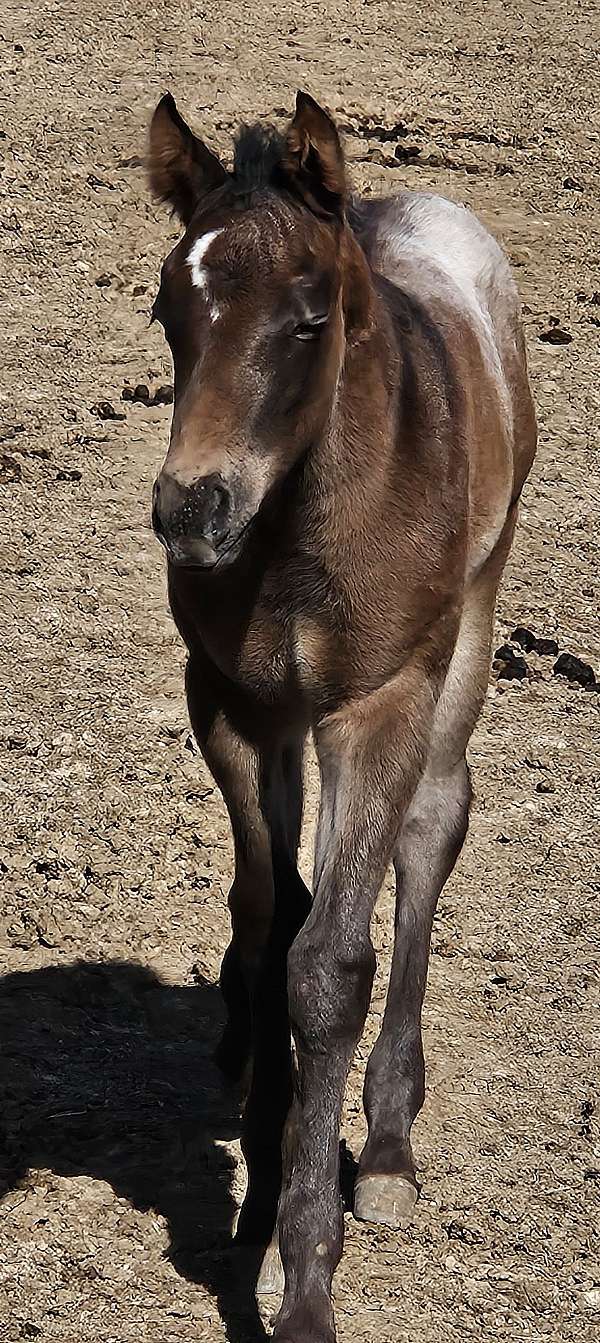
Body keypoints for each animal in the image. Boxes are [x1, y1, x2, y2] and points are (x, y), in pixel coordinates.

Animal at [147, 89, 536, 1342]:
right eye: (170, 308)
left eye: (311, 318)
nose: (193, 507)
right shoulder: (237, 704)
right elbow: (276, 927)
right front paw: (262, 1201)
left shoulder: (376, 707)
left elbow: (329, 970)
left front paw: (308, 1273)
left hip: (466, 624)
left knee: (430, 826)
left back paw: (393, 1148)